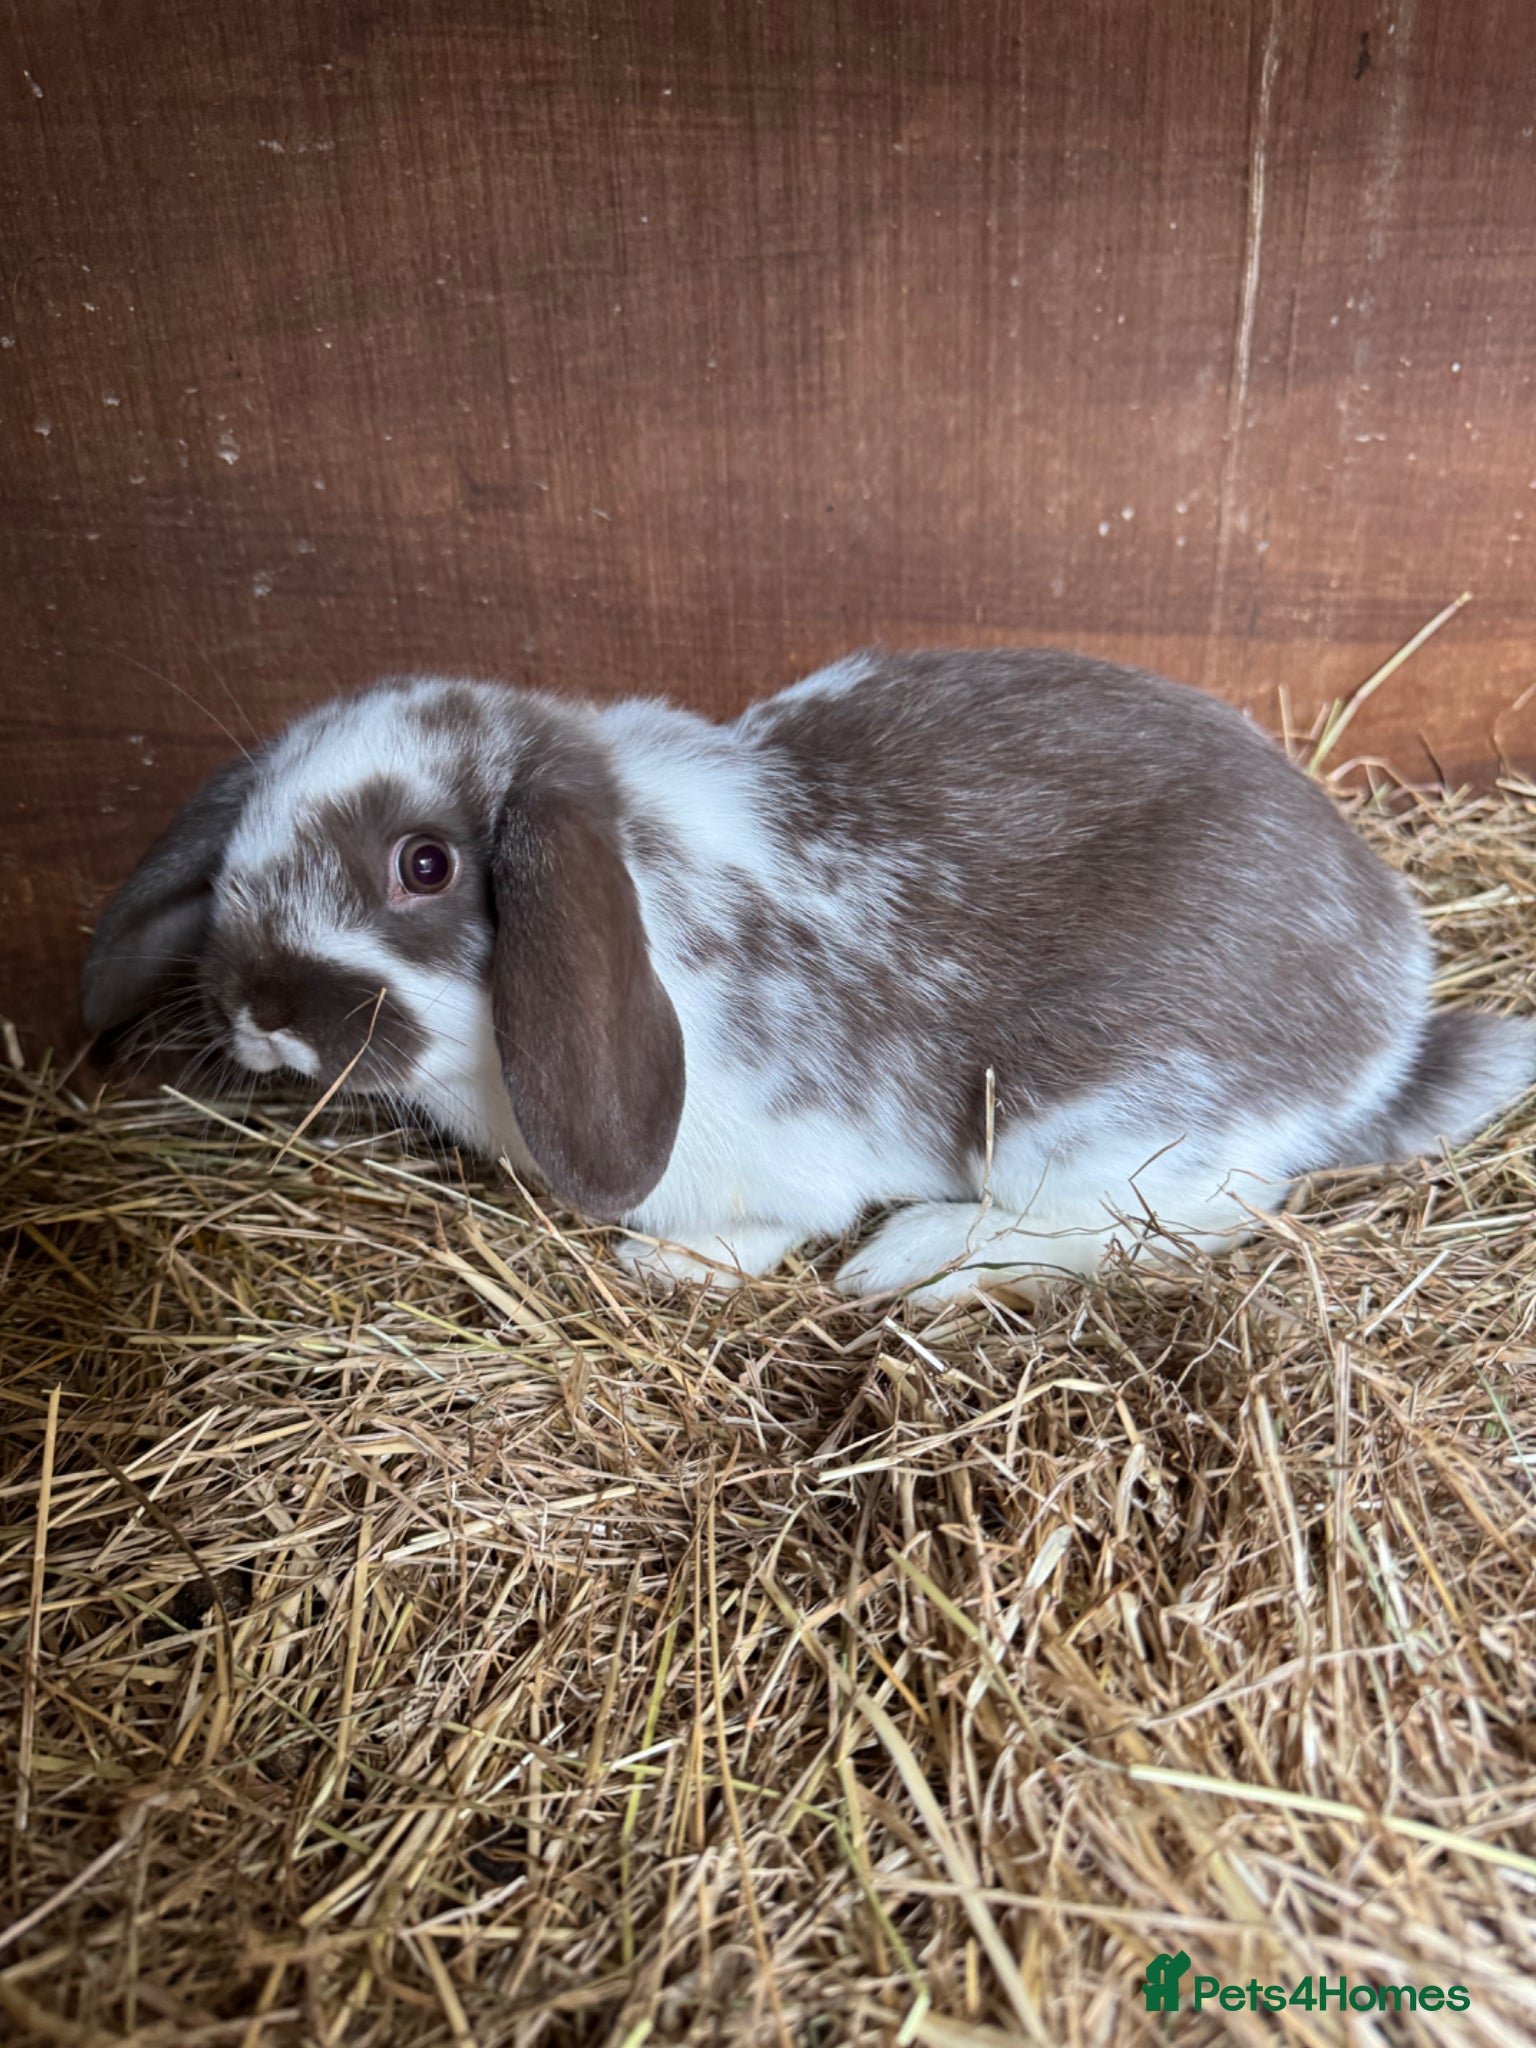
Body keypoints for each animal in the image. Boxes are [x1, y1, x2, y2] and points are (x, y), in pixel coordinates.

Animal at [80, 649, 1536, 1304]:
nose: (255, 1008)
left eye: (424, 865)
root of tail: (1387, 1024)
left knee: (1180, 1213)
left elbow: (765, 1227)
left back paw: (911, 1264)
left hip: (1084, 1115)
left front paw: (672, 1266)